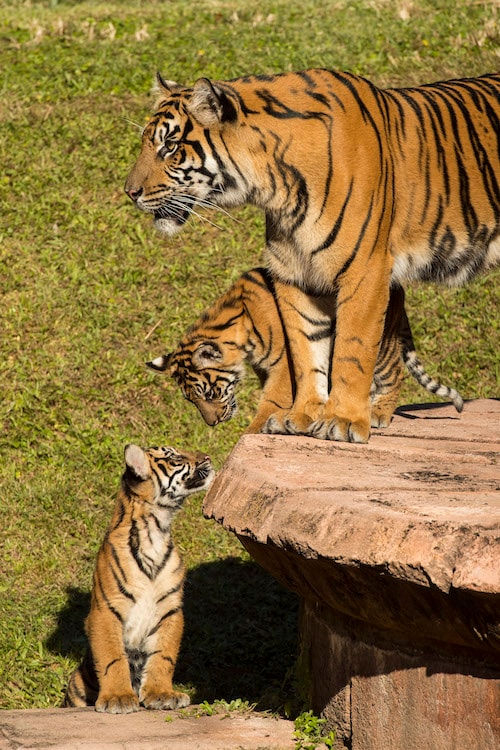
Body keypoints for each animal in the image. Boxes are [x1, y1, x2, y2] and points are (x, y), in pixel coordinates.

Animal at [62, 446, 213, 716]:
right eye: (175, 458)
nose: (207, 457)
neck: (156, 528)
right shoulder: (105, 609)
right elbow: (112, 657)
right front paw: (118, 698)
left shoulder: (170, 609)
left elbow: (163, 656)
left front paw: (162, 694)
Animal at [146, 268, 462, 434]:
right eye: (191, 400)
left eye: (210, 394)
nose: (212, 423)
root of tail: (398, 288)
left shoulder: (283, 363)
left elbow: (273, 399)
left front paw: (254, 431)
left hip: (381, 346)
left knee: (394, 374)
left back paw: (378, 414)